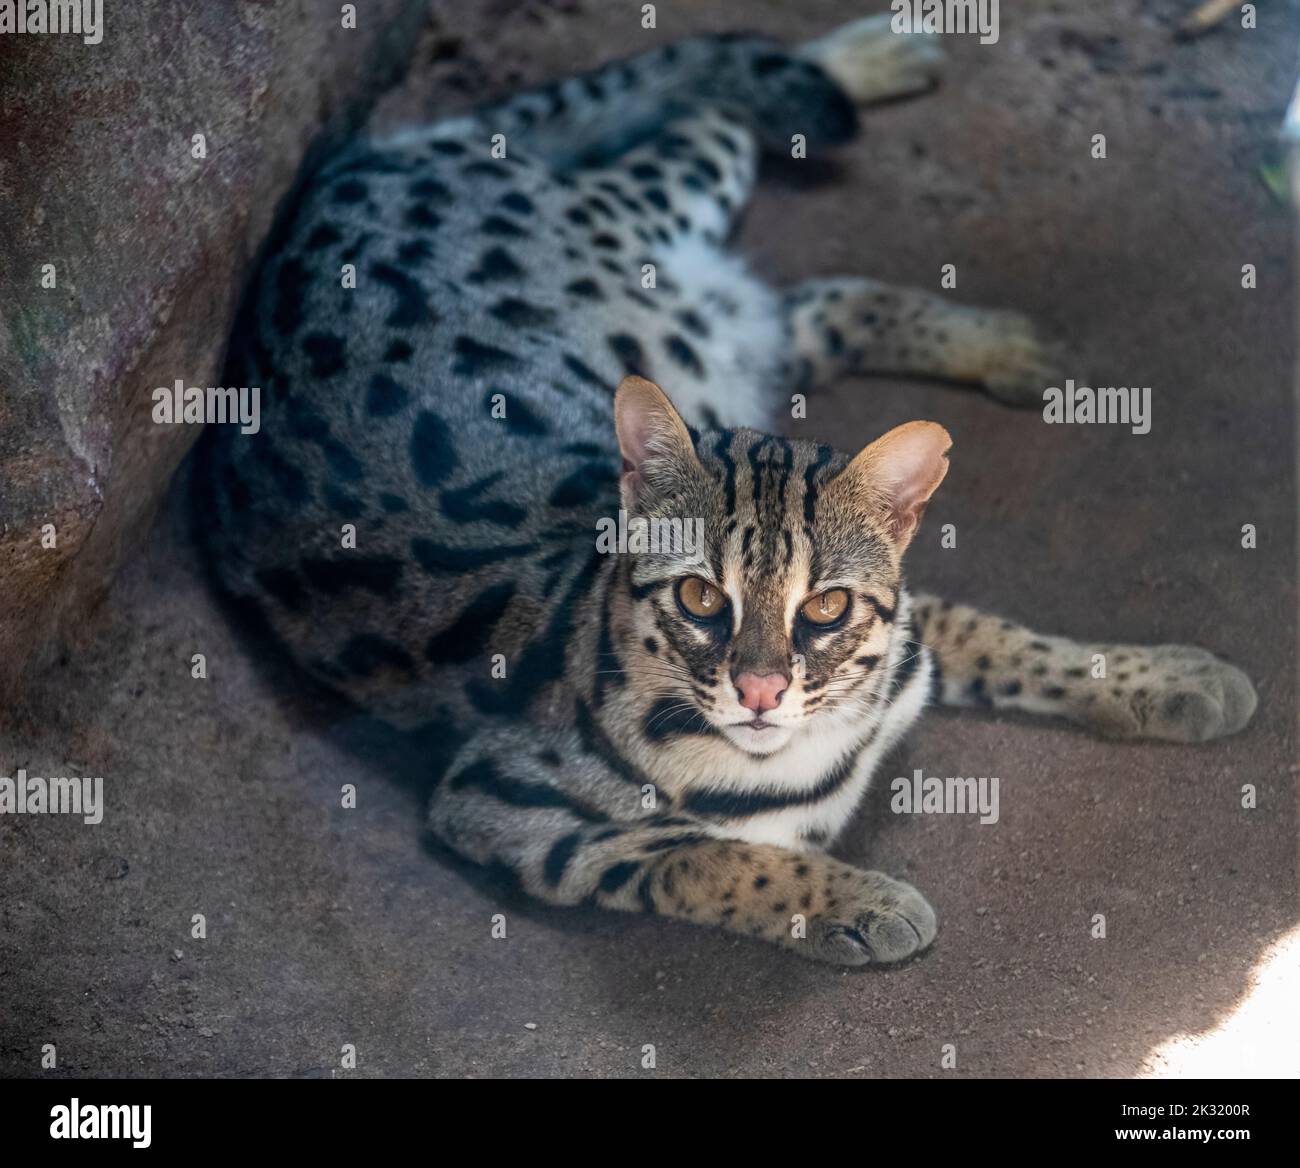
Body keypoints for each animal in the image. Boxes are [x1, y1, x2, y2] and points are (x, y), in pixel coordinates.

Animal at [197, 18, 1253, 967]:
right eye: (702, 596)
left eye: (824, 608)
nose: (759, 688)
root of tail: (348, 176)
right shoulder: (503, 806)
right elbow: (698, 855)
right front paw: (858, 902)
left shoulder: (908, 625)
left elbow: (1001, 636)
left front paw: (1163, 678)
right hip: (668, 284)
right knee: (731, 162)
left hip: (700, 315)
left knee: (749, 176)